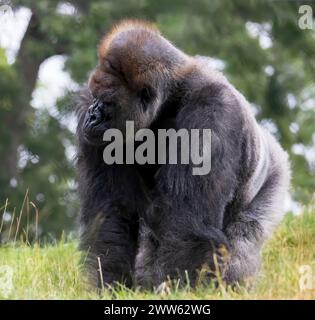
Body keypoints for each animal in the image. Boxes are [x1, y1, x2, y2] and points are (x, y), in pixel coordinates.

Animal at [75, 20, 292, 290]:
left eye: (107, 101)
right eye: (95, 97)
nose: (92, 116)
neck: (170, 99)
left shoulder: (213, 110)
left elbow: (187, 224)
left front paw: (181, 289)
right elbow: (111, 216)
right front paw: (110, 285)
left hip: (275, 174)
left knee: (244, 240)